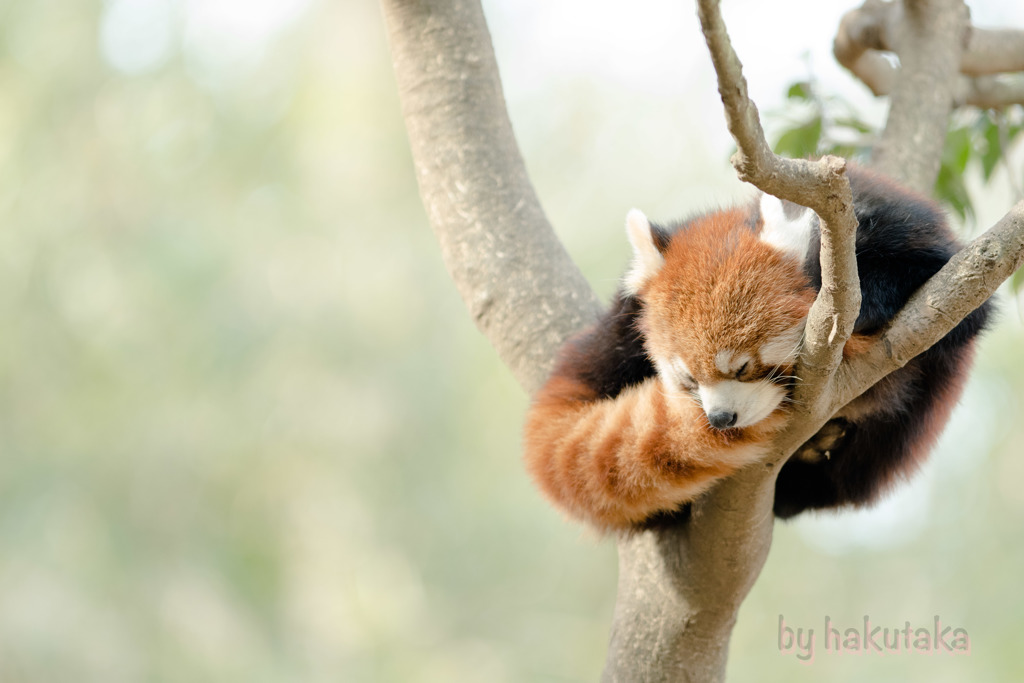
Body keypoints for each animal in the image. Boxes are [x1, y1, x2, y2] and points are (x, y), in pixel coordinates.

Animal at [524, 167, 987, 532]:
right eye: (688, 379)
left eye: (744, 368)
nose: (720, 419)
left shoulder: (905, 230)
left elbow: (964, 310)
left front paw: (857, 308)